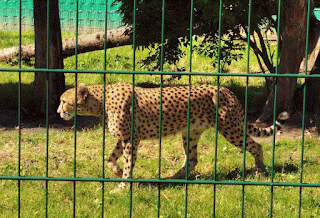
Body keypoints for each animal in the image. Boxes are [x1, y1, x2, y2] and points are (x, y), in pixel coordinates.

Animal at [57, 82, 284, 189]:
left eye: (64, 101)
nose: (59, 112)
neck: (101, 101)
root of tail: (226, 89)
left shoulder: (131, 139)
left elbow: (129, 164)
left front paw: (123, 186)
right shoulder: (124, 138)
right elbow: (110, 159)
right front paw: (117, 172)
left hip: (231, 129)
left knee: (256, 145)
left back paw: (260, 171)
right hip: (190, 133)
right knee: (192, 159)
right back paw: (173, 178)